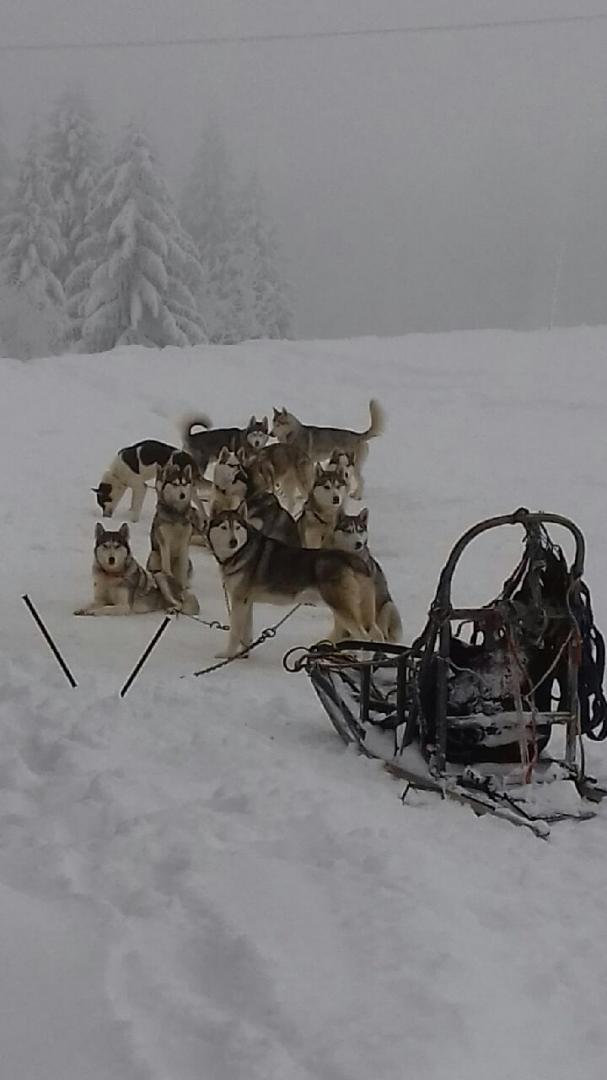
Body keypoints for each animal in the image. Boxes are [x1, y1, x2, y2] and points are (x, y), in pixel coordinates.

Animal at [207, 508, 378, 658]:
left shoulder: (239, 601)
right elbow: (246, 634)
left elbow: (235, 633)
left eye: (237, 527)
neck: (241, 552)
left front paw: (227, 655)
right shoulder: (247, 602)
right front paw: (243, 655)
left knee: (366, 638)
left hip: (341, 607)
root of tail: (349, 558)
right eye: (223, 527)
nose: (233, 541)